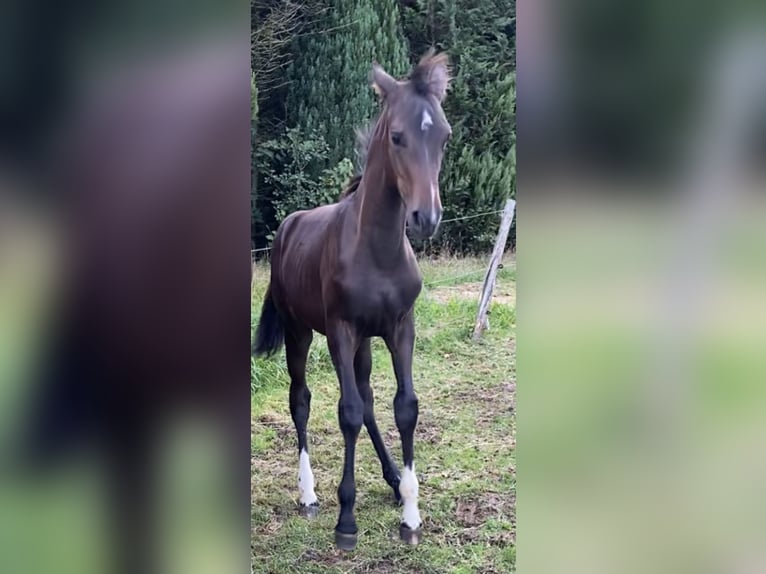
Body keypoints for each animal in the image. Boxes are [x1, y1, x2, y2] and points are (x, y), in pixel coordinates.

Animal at [253, 50, 452, 550]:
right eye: (397, 136)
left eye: (444, 136)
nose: (426, 218)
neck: (377, 250)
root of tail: (288, 227)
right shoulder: (340, 332)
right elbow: (346, 413)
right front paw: (346, 520)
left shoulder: (400, 327)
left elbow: (403, 407)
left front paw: (410, 514)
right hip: (301, 333)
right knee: (302, 399)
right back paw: (308, 494)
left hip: (364, 340)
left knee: (366, 396)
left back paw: (391, 479)